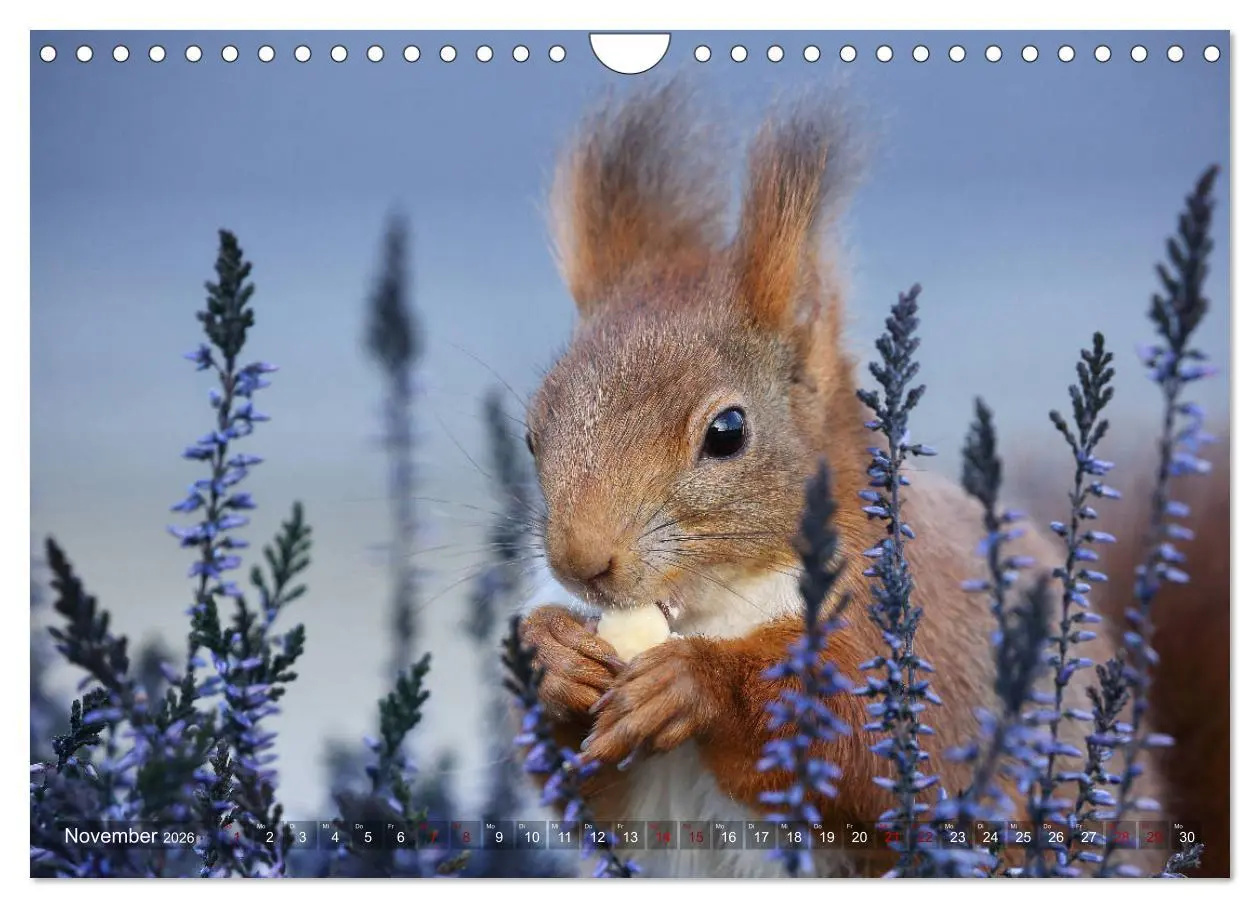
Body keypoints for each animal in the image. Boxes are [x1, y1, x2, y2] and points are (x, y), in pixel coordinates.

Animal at [512, 83, 1204, 878]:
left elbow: (863, 746)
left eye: (728, 432)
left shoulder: (910, 637)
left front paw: (696, 684)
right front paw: (551, 655)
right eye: (531, 432)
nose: (580, 563)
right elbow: (591, 793)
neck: (720, 603)